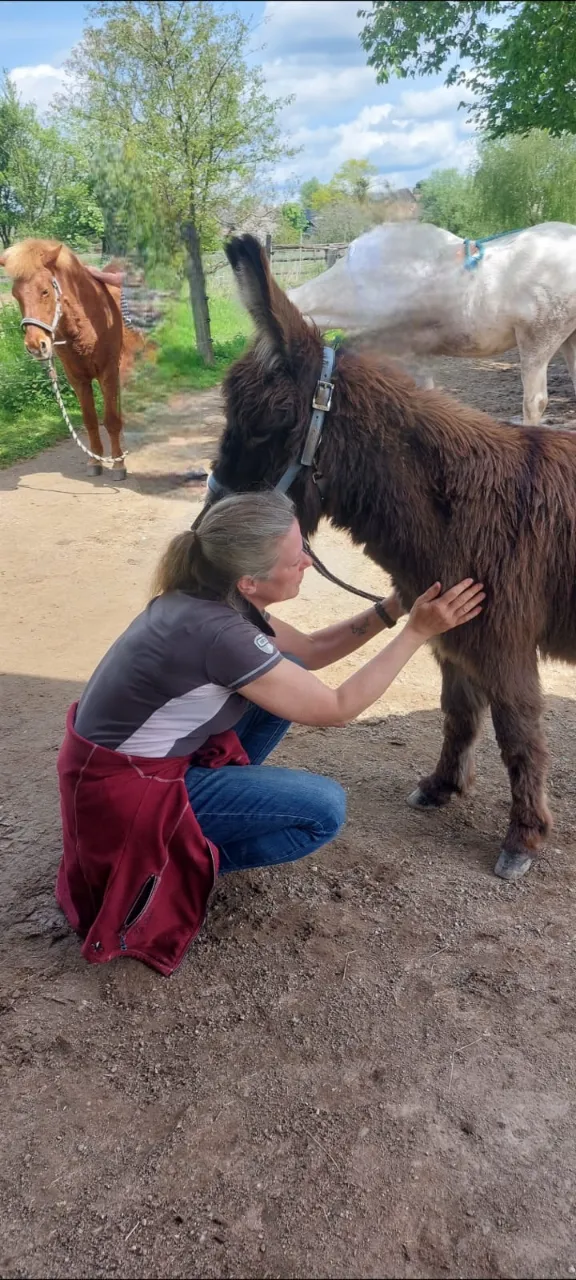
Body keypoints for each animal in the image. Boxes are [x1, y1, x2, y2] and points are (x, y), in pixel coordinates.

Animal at [0, 239, 144, 480]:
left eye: (45, 291)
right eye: (15, 295)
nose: (36, 346)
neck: (89, 321)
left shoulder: (108, 372)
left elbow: (111, 420)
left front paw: (118, 464)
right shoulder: (77, 379)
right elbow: (90, 421)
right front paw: (95, 461)